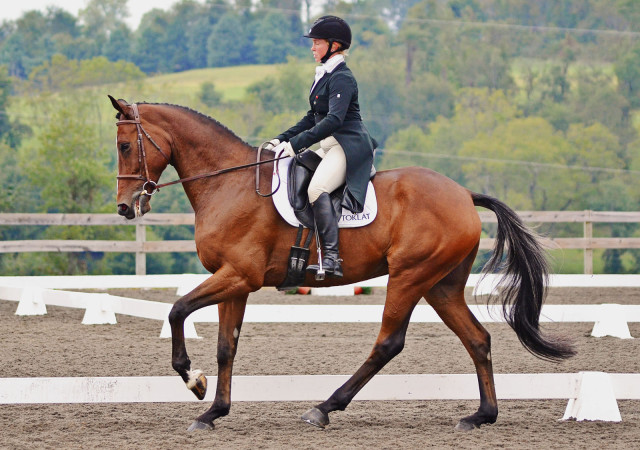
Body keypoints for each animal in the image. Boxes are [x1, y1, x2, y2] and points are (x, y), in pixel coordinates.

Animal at [110, 96, 576, 432]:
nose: (124, 208)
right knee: (477, 339)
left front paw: (193, 380)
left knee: (389, 343)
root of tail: (463, 194)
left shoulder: (237, 276)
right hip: (440, 285)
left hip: (410, 276)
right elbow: (227, 346)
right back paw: (481, 416)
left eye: (126, 145)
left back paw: (324, 408)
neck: (229, 183)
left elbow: (177, 311)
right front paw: (212, 411)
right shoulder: (234, 282)